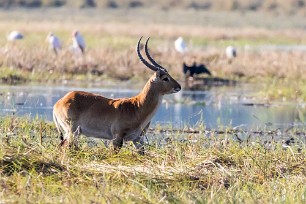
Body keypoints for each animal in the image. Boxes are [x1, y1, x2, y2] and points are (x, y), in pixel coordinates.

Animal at [53, 37, 182, 155]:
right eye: (165, 78)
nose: (179, 86)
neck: (137, 107)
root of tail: (59, 102)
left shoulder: (138, 140)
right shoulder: (117, 138)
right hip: (71, 132)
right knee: (63, 146)